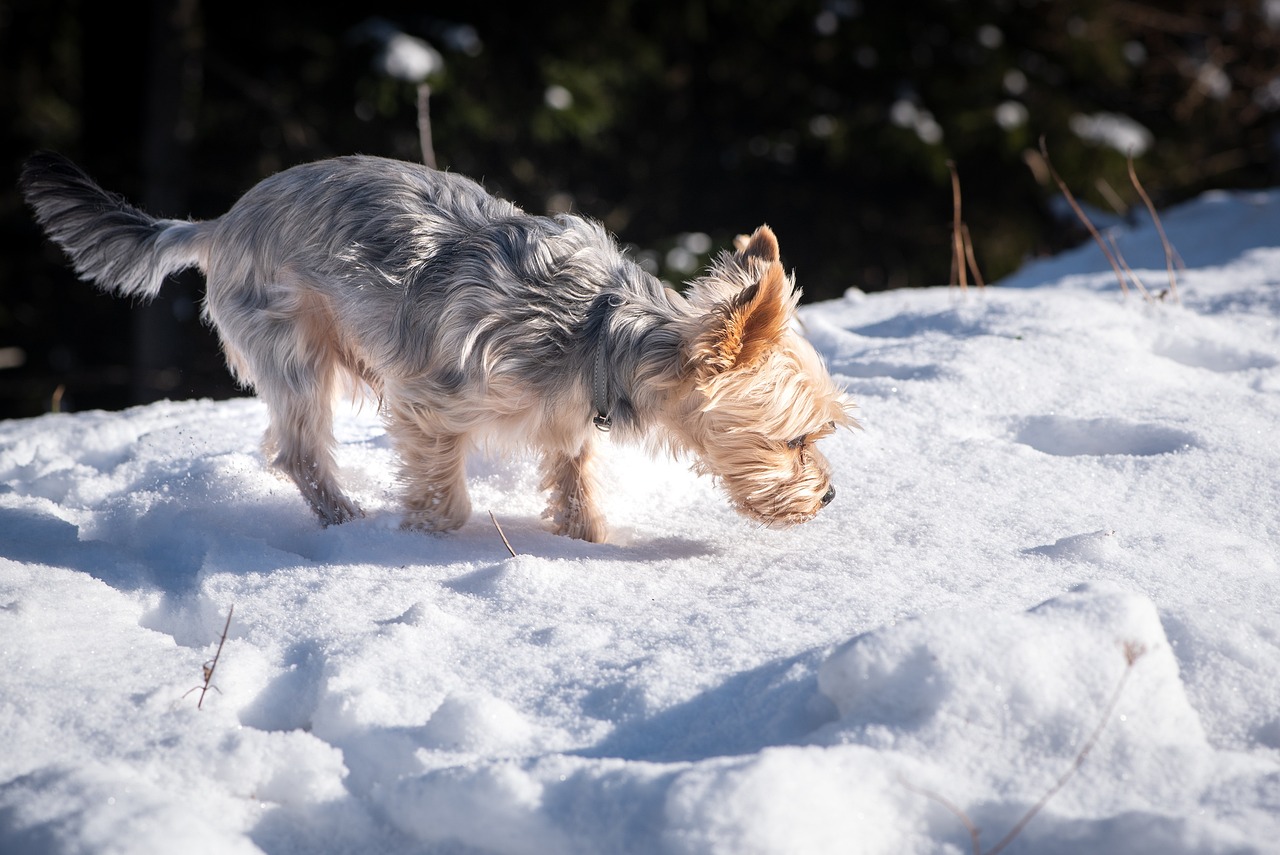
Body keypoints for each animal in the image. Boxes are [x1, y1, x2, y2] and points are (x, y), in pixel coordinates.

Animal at [20, 152, 855, 540]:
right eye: (797, 437)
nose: (830, 496)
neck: (601, 334)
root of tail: (219, 222)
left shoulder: (566, 424)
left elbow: (576, 485)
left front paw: (586, 543)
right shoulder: (430, 403)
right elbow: (444, 499)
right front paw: (425, 541)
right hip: (291, 344)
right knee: (300, 447)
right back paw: (348, 524)